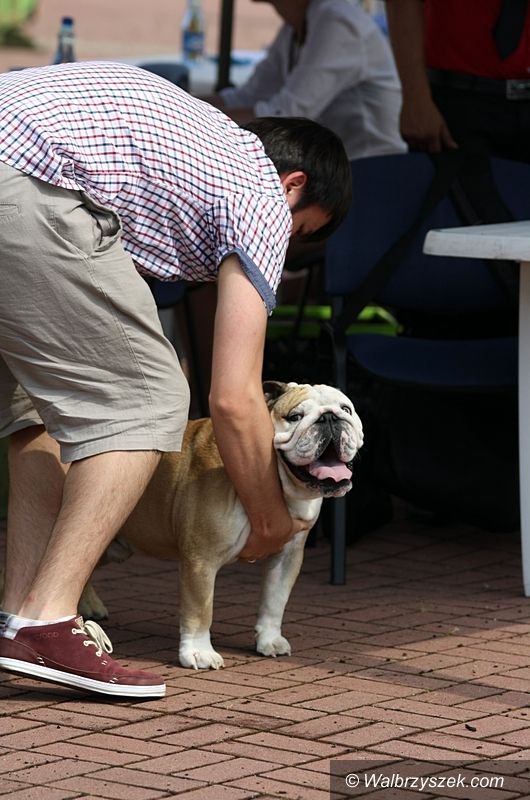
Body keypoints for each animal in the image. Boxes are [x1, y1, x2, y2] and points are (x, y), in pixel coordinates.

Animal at [6, 381, 364, 670]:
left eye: (346, 409)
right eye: (295, 416)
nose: (330, 418)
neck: (269, 474)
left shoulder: (287, 556)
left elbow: (274, 601)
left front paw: (269, 640)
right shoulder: (200, 560)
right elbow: (199, 610)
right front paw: (199, 653)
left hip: (112, 542)